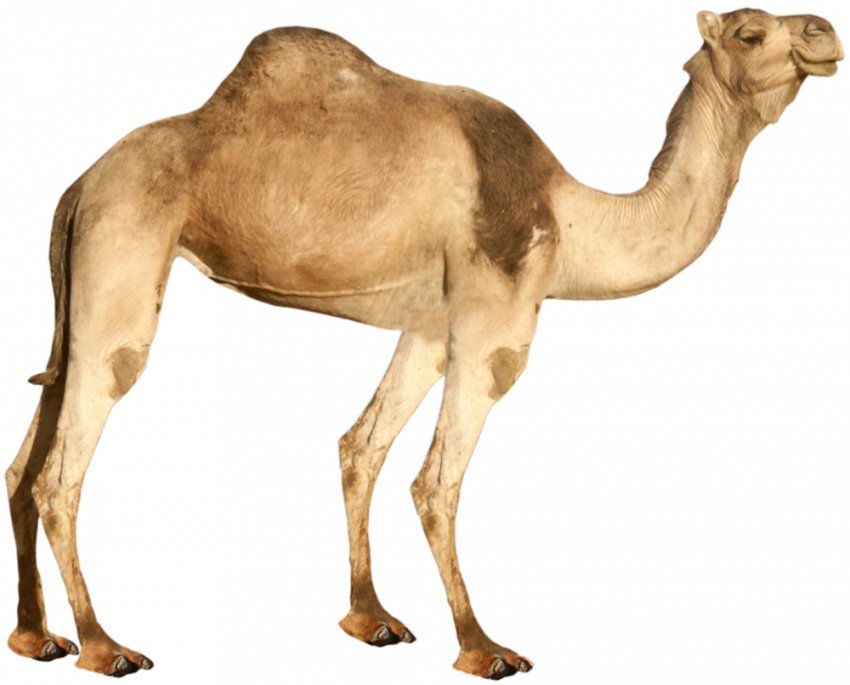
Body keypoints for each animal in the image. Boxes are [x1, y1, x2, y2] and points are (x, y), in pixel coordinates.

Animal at [3, 5, 844, 681]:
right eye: (749, 33)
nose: (826, 33)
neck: (569, 220)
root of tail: (78, 187)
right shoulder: (496, 318)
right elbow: (436, 479)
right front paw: (482, 648)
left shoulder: (432, 324)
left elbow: (361, 446)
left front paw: (371, 620)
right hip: (125, 249)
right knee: (65, 463)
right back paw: (103, 646)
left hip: (81, 286)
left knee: (27, 453)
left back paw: (35, 637)